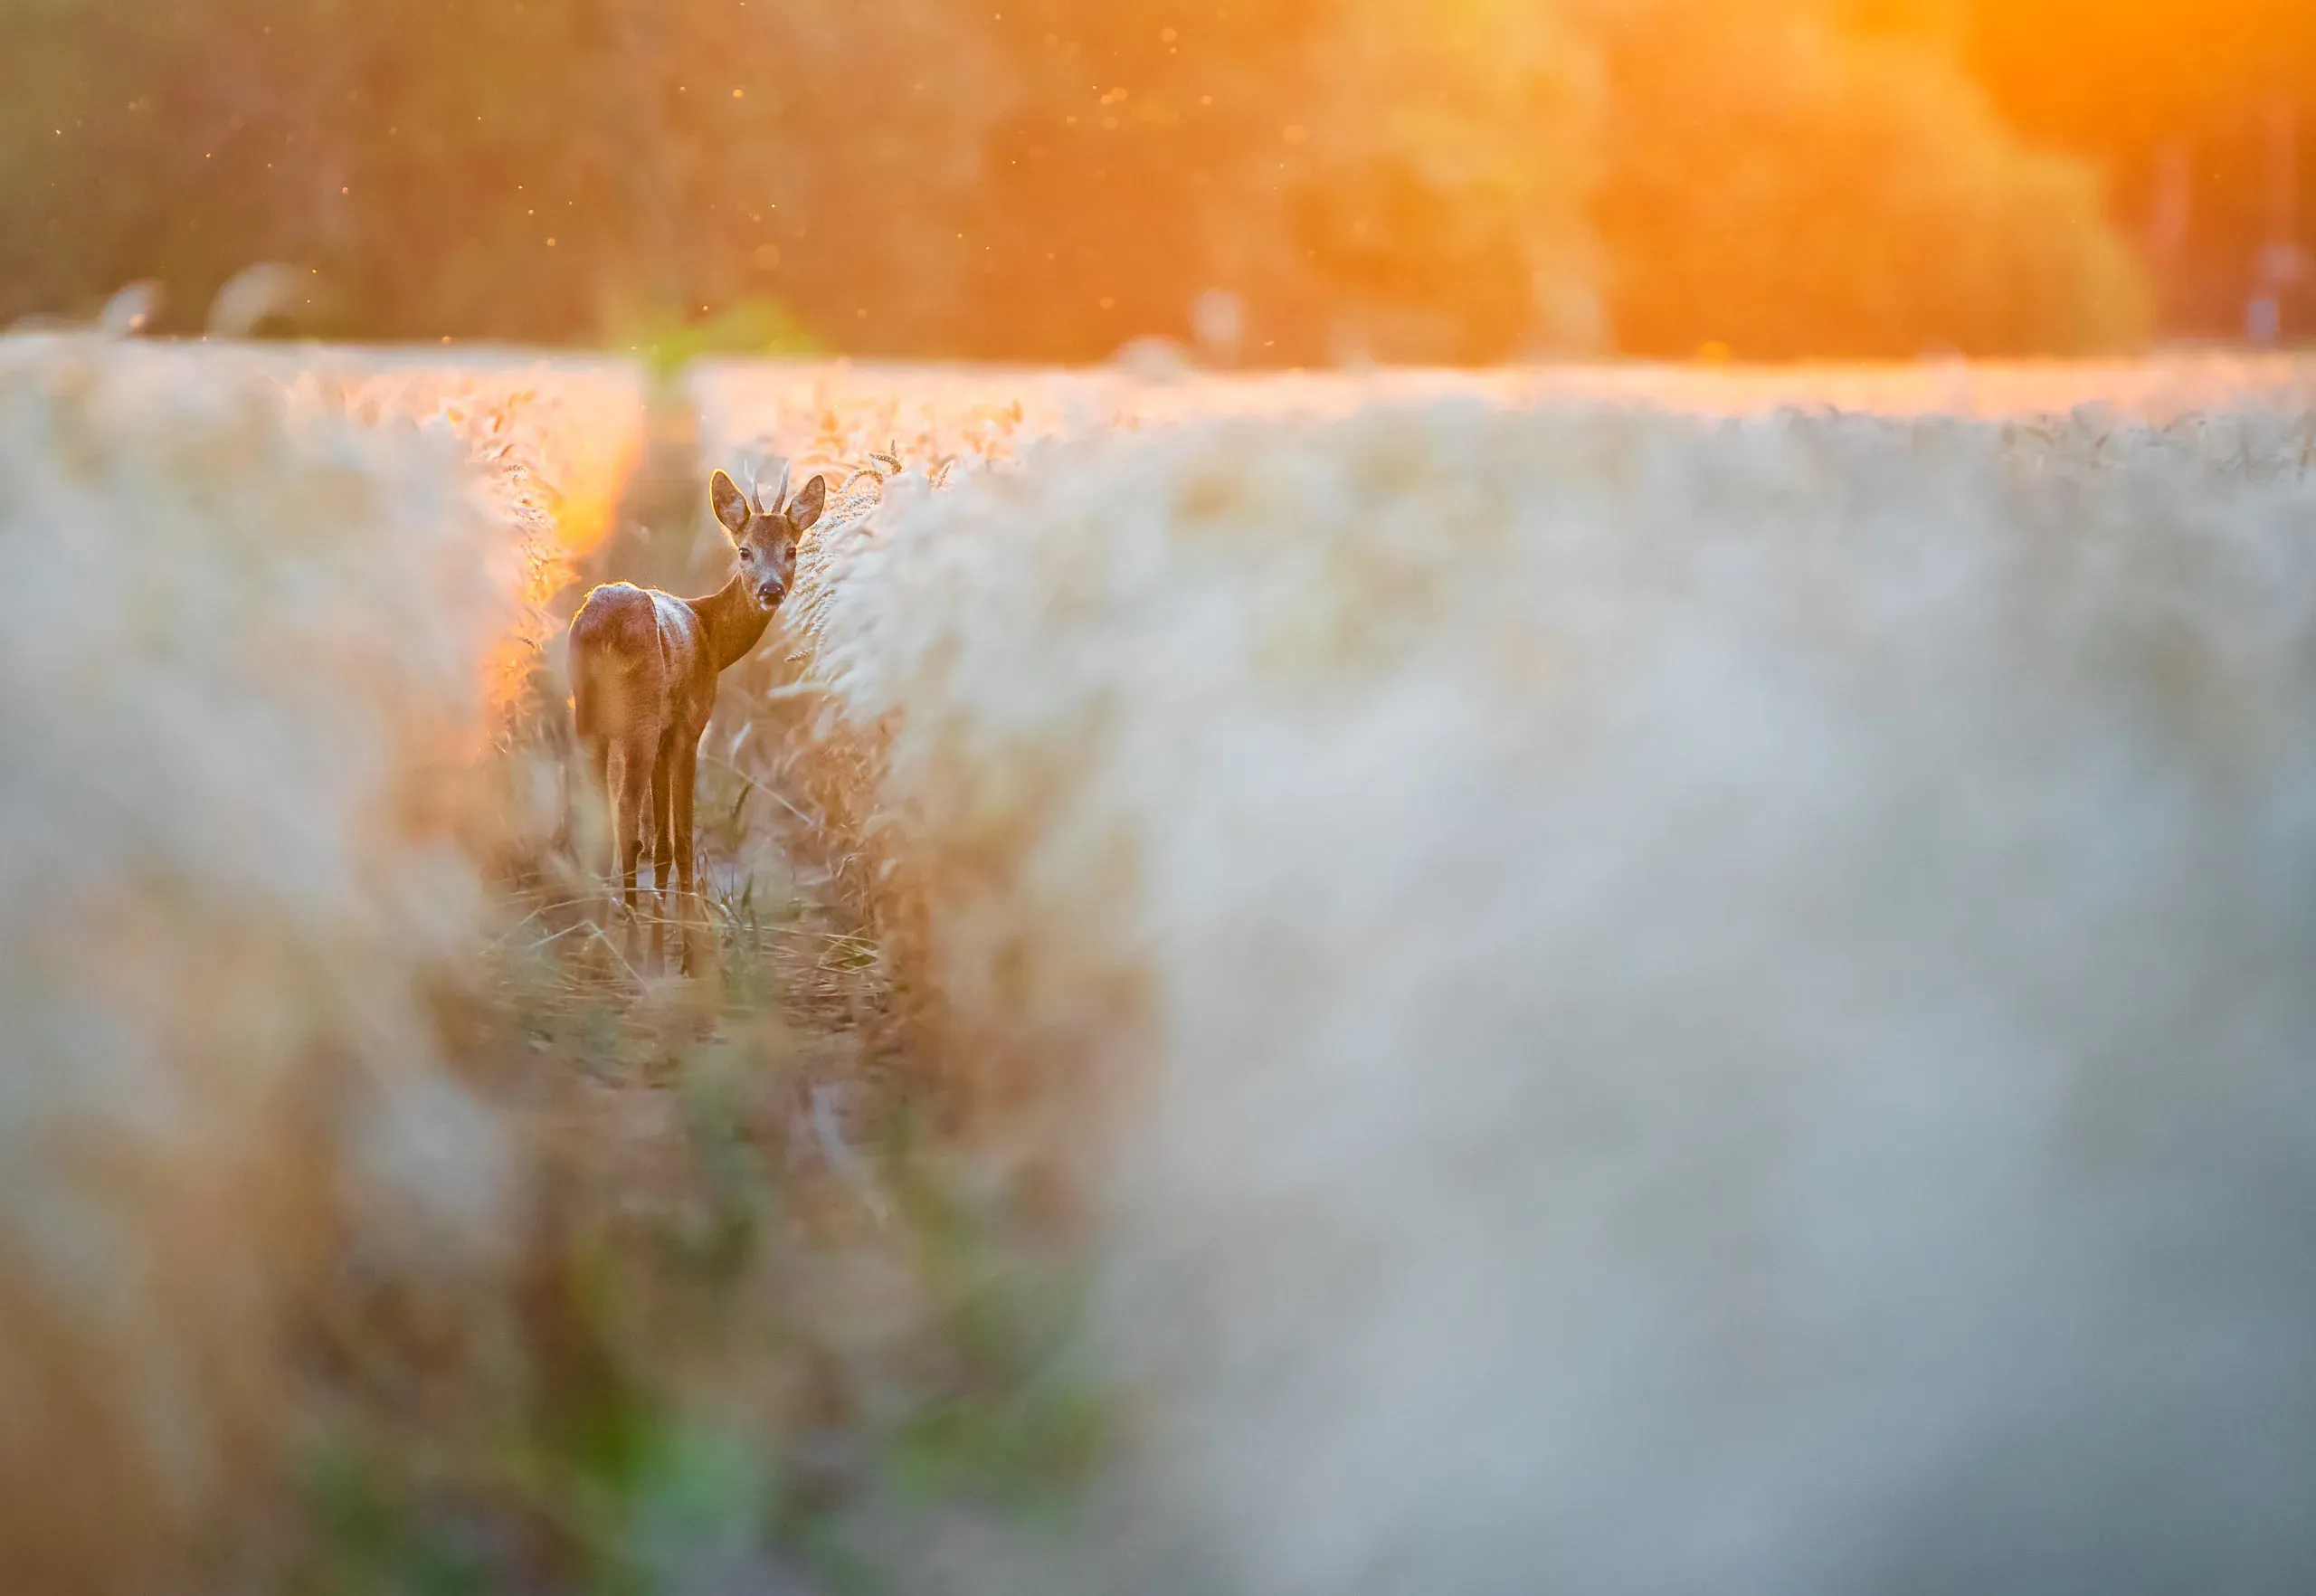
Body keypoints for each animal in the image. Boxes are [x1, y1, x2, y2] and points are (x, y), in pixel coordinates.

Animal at [568, 462, 826, 949]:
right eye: (744, 551)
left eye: (791, 549)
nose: (770, 590)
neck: (712, 638)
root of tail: (605, 628)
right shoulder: (687, 726)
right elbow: (683, 837)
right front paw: (685, 940)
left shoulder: (667, 734)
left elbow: (664, 844)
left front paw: (662, 925)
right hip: (639, 718)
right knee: (626, 816)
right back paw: (628, 930)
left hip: (589, 719)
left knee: (596, 815)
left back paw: (595, 928)